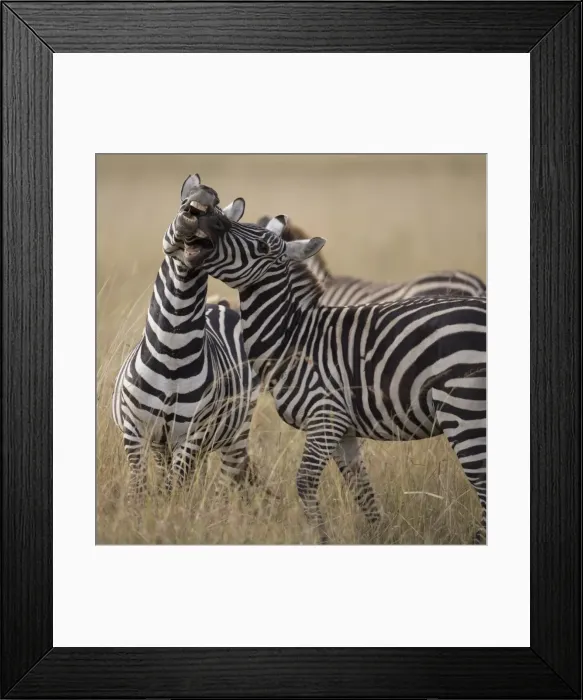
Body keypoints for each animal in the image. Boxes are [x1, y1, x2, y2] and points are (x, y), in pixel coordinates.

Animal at [111, 174, 261, 499]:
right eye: (184, 204)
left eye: (219, 218)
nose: (203, 196)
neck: (172, 352)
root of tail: (221, 305)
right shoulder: (135, 431)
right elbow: (139, 487)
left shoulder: (191, 434)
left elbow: (173, 488)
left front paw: (171, 509)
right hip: (163, 443)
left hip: (236, 432)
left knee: (227, 480)